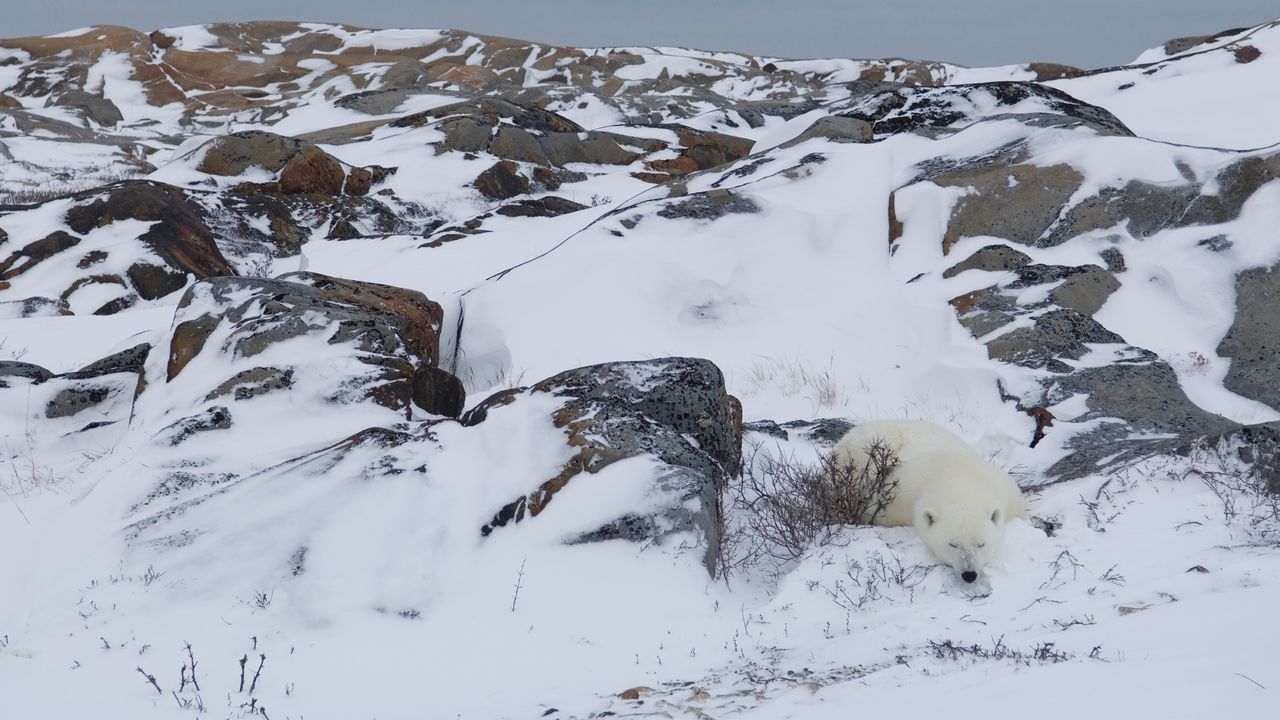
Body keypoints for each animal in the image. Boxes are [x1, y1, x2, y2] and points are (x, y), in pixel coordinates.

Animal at [829, 419, 1025, 583]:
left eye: (981, 544)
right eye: (952, 544)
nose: (969, 574)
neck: (957, 478)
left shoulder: (1003, 487)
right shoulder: (895, 498)